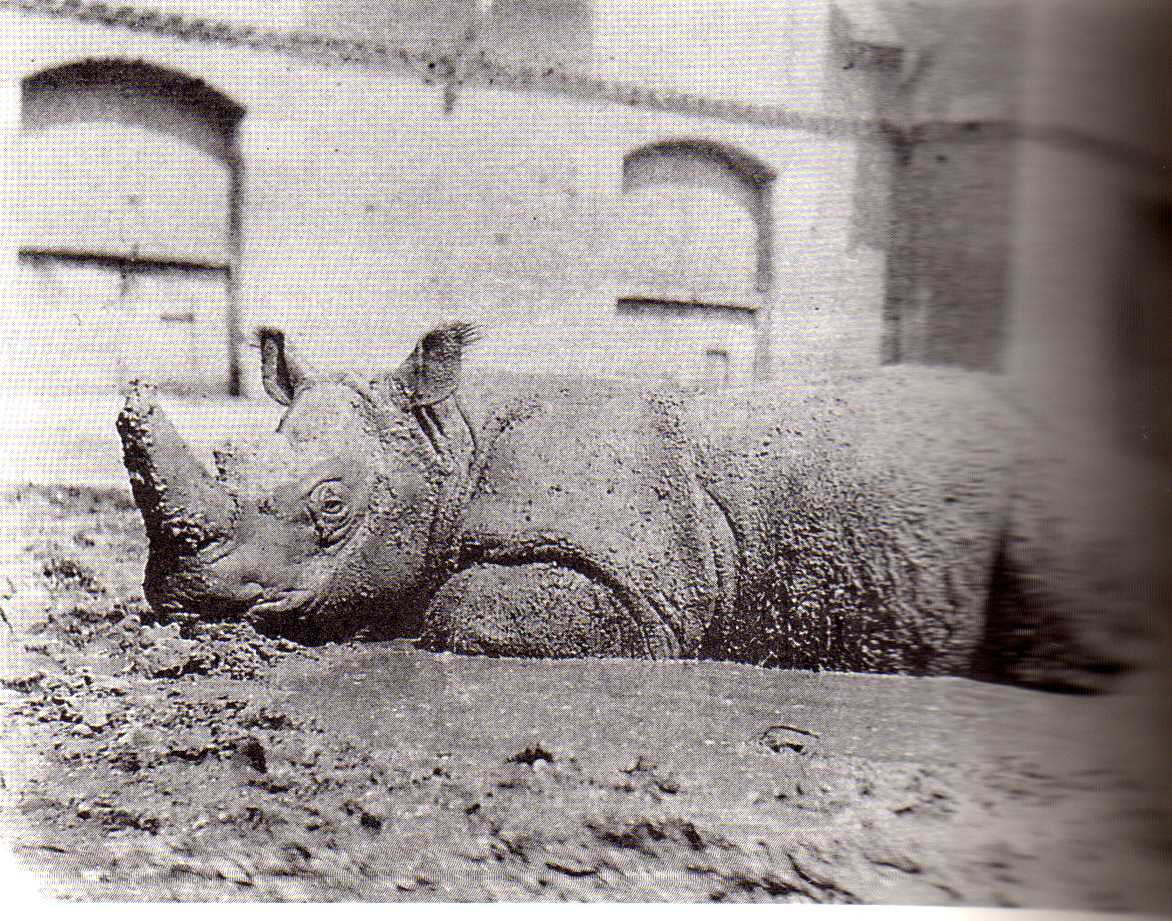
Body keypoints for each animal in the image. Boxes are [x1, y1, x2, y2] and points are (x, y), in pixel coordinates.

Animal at [117, 323, 1153, 691]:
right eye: (227, 458)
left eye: (332, 503)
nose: (180, 596)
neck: (450, 441)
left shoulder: (637, 591)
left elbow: (461, 608)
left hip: (1050, 469)